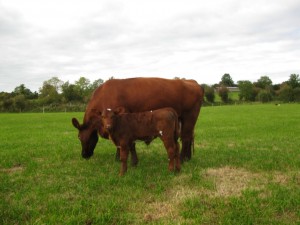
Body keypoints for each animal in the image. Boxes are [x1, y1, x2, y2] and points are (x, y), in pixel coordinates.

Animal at [72, 76, 204, 163]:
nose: (84, 155)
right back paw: (187, 158)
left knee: (186, 137)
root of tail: (191, 81)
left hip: (190, 116)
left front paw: (129, 161)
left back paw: (181, 160)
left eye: (79, 137)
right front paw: (119, 158)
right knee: (187, 137)